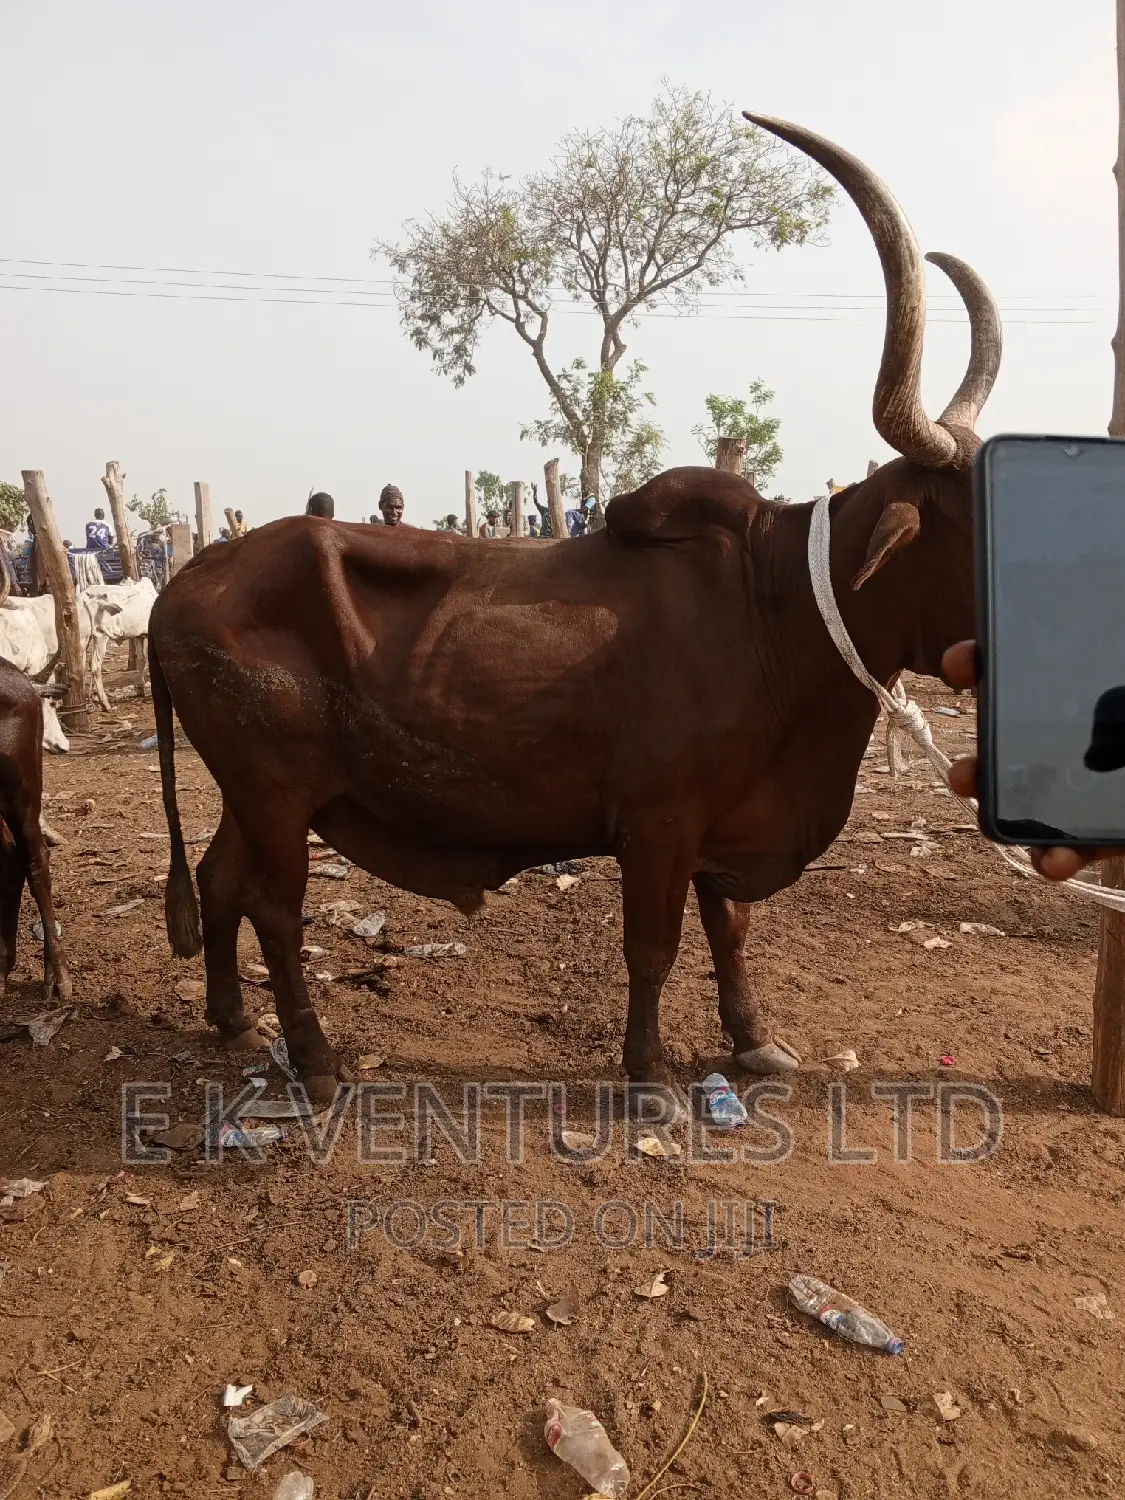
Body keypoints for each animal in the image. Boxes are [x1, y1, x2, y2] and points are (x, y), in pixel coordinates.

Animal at [148, 114, 1001, 1109]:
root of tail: (185, 580)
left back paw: (231, 1019)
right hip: (274, 791)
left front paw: (752, 1040)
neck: (775, 605)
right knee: (276, 911)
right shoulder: (658, 826)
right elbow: (653, 949)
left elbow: (731, 932)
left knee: (219, 883)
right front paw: (647, 1073)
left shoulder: (720, 821)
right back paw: (315, 1060)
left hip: (251, 794)